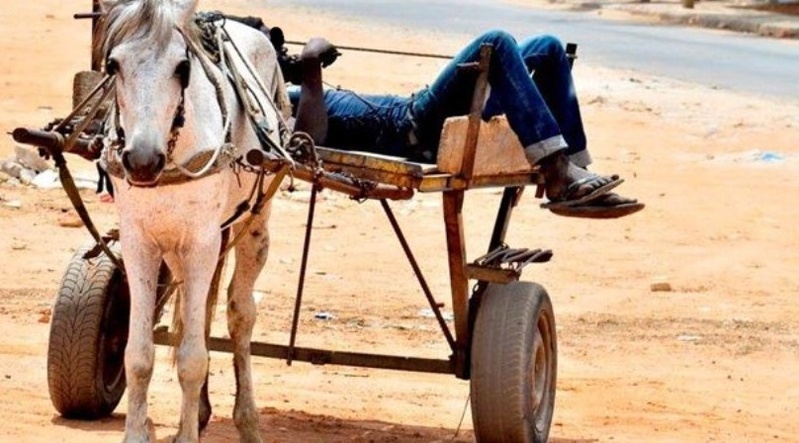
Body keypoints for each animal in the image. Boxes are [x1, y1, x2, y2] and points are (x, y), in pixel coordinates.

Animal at [95, 0, 290, 441]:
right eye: (113, 65)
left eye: (182, 67)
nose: (142, 161)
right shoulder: (141, 243)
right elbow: (139, 355)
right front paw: (139, 432)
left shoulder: (202, 243)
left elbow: (192, 360)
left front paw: (186, 435)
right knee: (194, 319)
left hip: (252, 228)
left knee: (239, 315)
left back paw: (246, 420)